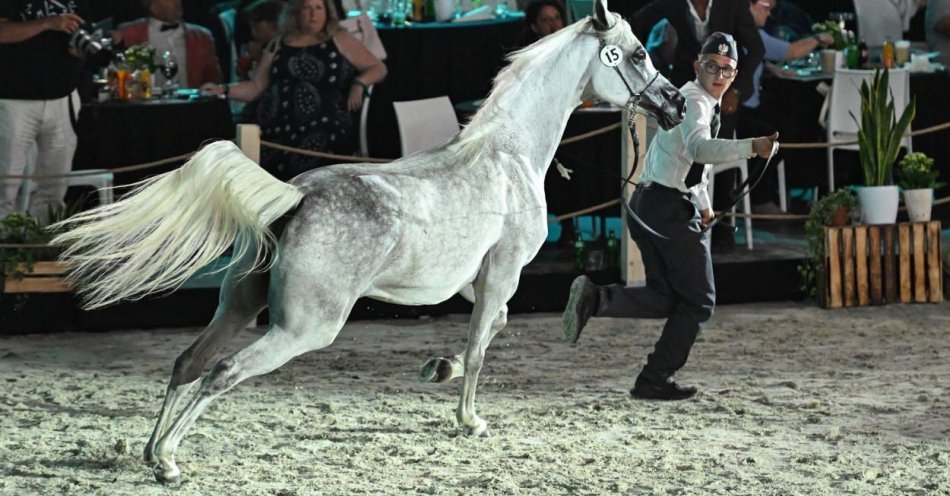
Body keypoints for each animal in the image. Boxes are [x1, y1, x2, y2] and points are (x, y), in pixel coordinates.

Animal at [52, 0, 684, 480]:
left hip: (237, 304)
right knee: (222, 372)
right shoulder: (502, 272)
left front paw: (438, 368)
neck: (508, 154)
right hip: (305, 326)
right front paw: (470, 419)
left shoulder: (471, 280)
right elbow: (482, 345)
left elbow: (492, 328)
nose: (675, 103)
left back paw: (150, 449)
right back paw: (167, 461)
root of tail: (293, 197)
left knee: (189, 361)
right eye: (639, 53)